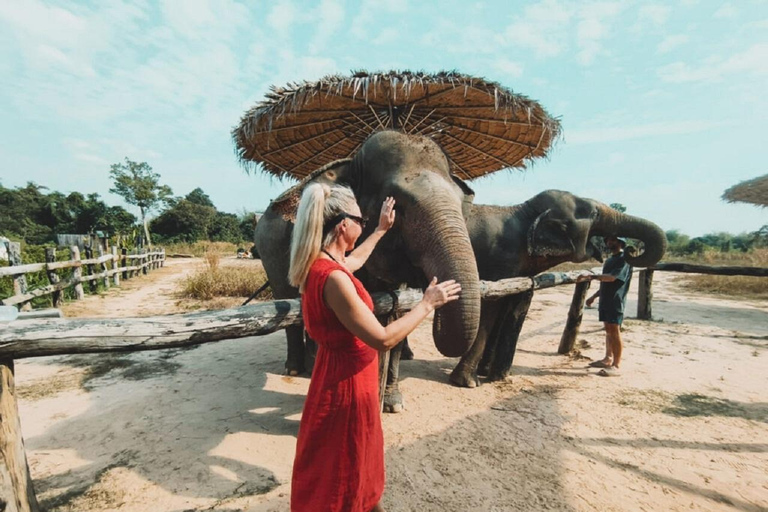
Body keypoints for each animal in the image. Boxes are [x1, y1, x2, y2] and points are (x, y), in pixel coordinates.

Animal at [254, 129, 480, 392]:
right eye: (399, 206)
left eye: (461, 204)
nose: (435, 284)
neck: (352, 165)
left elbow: (397, 313)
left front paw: (392, 397)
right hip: (269, 251)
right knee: (286, 299)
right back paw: (294, 369)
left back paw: (311, 366)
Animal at [448, 189, 668, 388]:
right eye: (594, 214)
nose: (628, 248)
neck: (523, 212)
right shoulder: (500, 260)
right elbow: (489, 309)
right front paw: (468, 382)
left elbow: (505, 305)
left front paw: (485, 372)